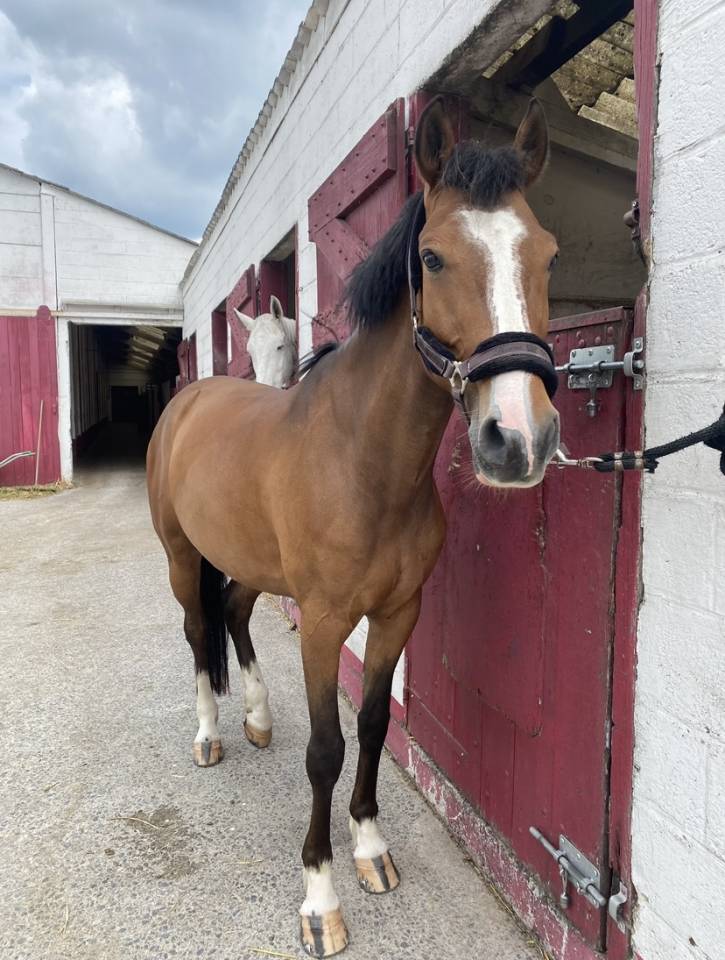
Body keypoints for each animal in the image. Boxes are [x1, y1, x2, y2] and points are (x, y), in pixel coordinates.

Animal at [146, 97, 560, 958]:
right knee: (198, 631)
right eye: (432, 258)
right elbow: (326, 751)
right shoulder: (322, 621)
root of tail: (189, 398)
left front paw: (370, 850)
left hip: (250, 566)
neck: (362, 460)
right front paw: (319, 897)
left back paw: (256, 717)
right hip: (179, 555)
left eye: (545, 254)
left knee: (232, 614)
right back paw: (210, 735)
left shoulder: (398, 612)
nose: (519, 439)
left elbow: (371, 726)